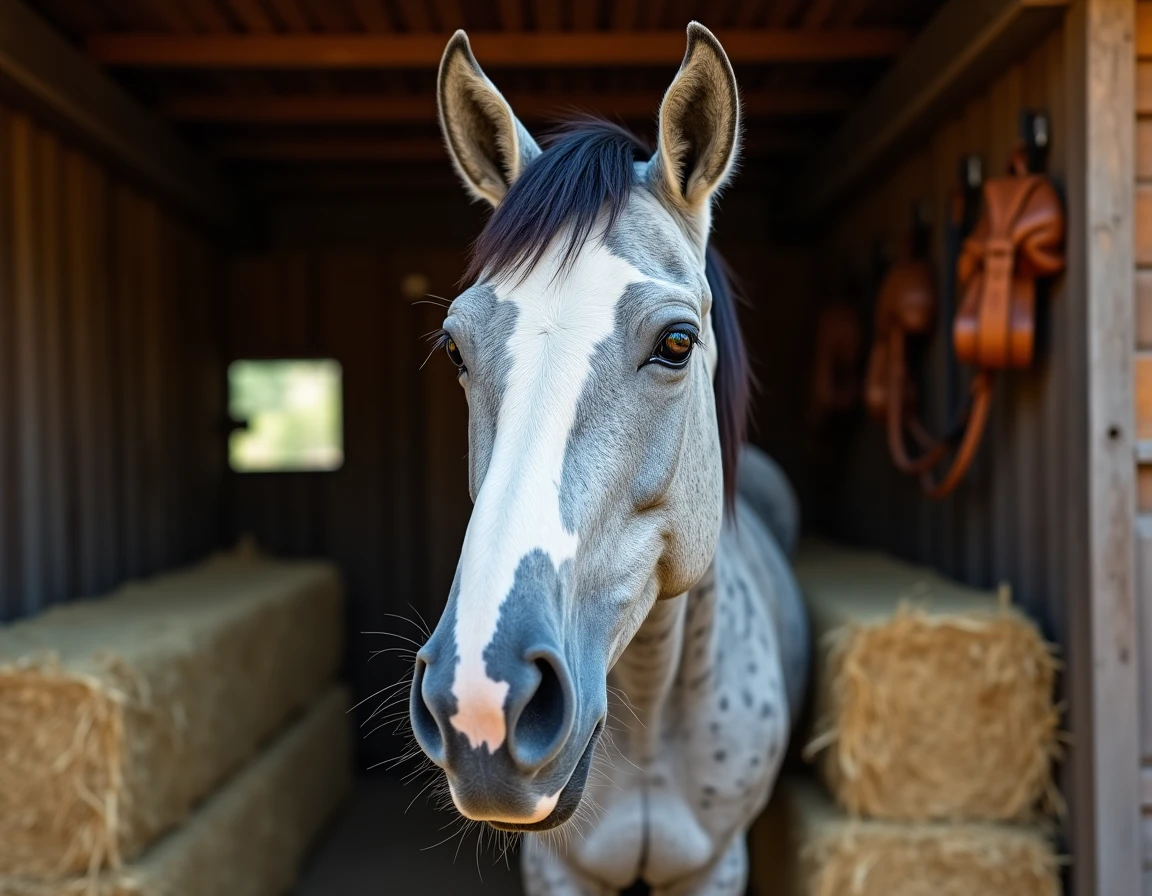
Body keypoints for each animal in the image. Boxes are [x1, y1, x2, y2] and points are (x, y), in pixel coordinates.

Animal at [408, 23, 810, 895]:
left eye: (677, 343)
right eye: (455, 348)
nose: (483, 701)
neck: (653, 718)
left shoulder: (717, 864)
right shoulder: (557, 870)